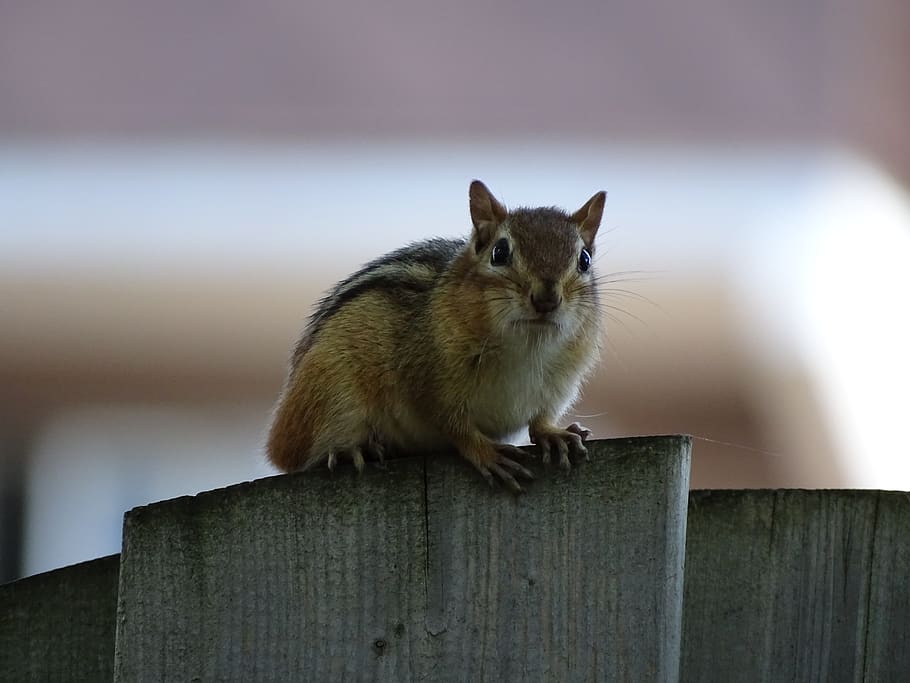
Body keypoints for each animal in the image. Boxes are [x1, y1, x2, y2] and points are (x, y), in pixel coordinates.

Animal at [266, 180, 605, 492]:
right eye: (499, 252)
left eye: (584, 259)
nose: (546, 299)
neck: (528, 346)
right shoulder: (425, 382)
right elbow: (453, 425)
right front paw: (485, 452)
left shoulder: (558, 385)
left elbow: (541, 418)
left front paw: (554, 434)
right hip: (330, 392)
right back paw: (351, 450)